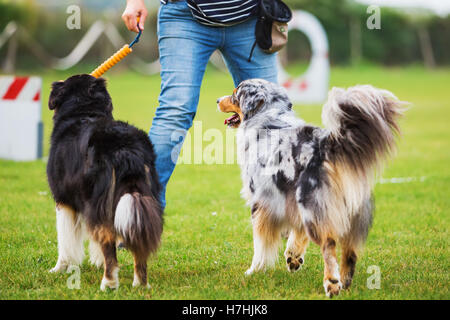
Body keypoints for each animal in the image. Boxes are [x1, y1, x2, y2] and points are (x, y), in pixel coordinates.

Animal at [47, 75, 163, 290]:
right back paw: (140, 284)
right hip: (144, 198)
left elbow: (65, 240)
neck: (84, 110)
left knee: (108, 241)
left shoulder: (63, 200)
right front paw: (97, 261)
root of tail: (125, 148)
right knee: (139, 239)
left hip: (99, 202)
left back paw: (108, 283)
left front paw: (59, 268)